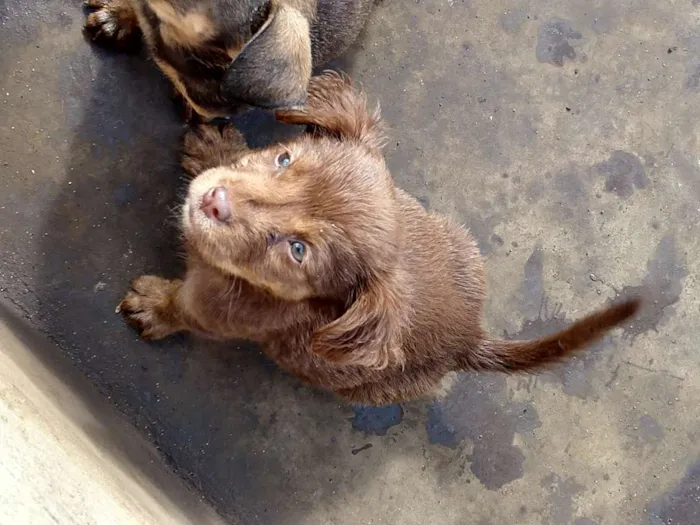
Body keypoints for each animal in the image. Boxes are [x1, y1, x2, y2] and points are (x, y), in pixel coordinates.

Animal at [119, 71, 640, 404]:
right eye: (284, 159)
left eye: (298, 250)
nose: (213, 201)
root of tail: (468, 339)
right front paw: (215, 149)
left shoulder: (217, 315)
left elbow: (182, 309)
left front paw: (154, 307)